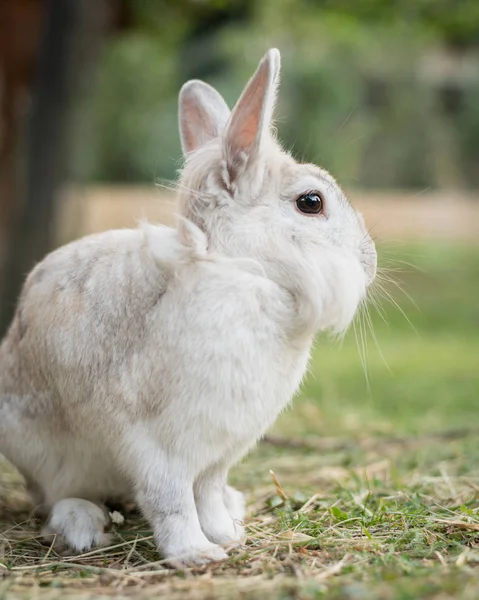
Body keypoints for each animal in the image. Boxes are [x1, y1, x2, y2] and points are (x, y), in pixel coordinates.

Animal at [0, 48, 376, 568]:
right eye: (311, 202)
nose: (371, 261)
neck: (239, 270)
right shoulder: (154, 446)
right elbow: (172, 500)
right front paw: (196, 554)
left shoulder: (219, 452)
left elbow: (208, 494)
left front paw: (226, 536)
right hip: (46, 454)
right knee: (54, 496)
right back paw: (83, 525)